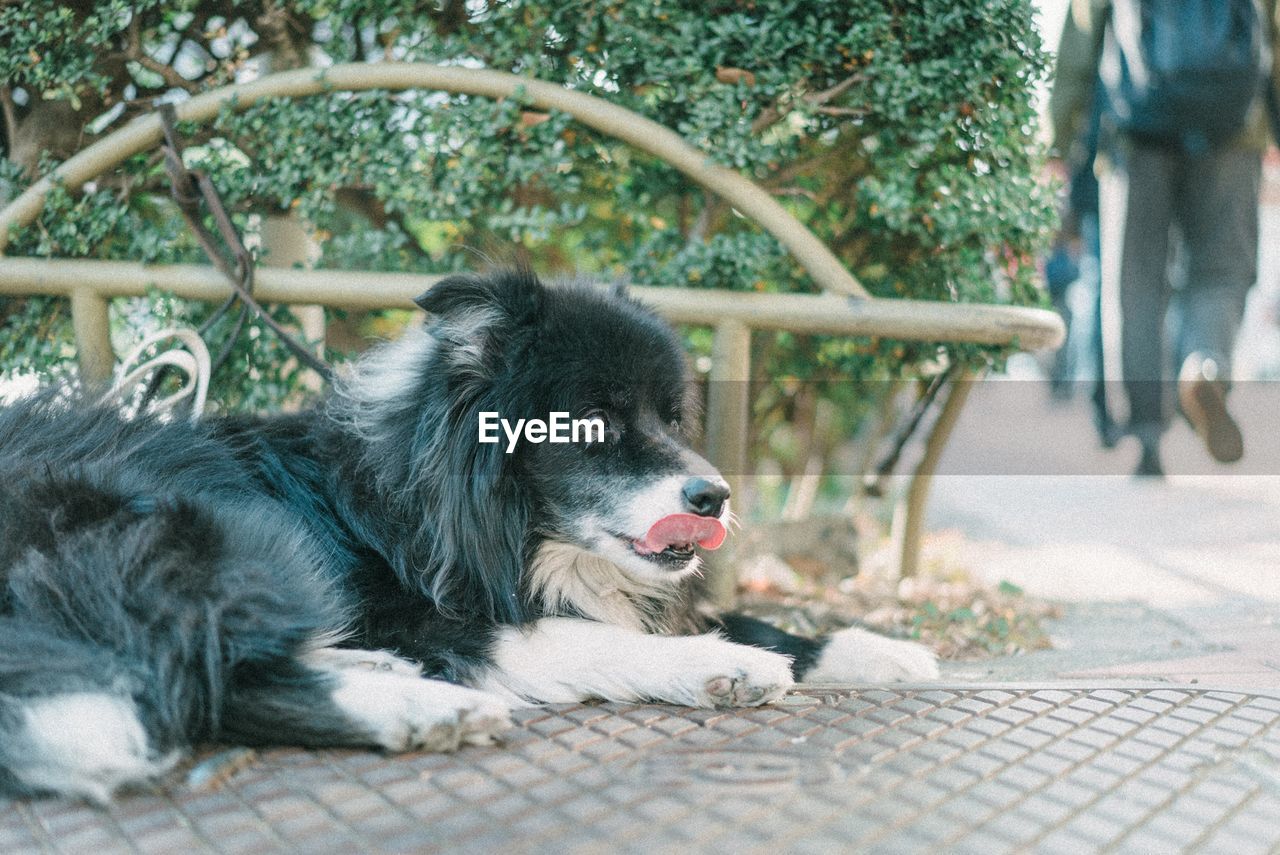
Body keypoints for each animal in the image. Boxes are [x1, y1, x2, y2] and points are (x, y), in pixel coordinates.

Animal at [0, 268, 942, 803]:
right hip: (238, 535)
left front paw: (876, 648)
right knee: (203, 678)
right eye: (597, 423)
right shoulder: (420, 609)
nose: (713, 495)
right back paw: (422, 704)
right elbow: (575, 634)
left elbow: (746, 615)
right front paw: (723, 666)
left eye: (672, 416)